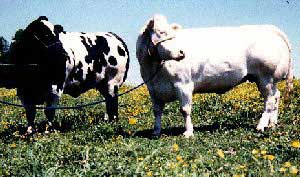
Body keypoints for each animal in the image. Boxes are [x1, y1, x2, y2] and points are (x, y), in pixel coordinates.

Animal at [137, 14, 292, 138]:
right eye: (161, 32)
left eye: (173, 34)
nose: (182, 52)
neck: (154, 68)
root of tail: (269, 28)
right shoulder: (153, 89)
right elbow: (157, 111)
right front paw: (156, 132)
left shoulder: (184, 84)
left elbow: (185, 110)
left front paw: (188, 132)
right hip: (270, 80)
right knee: (276, 96)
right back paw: (272, 123)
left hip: (265, 77)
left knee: (269, 100)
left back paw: (261, 126)